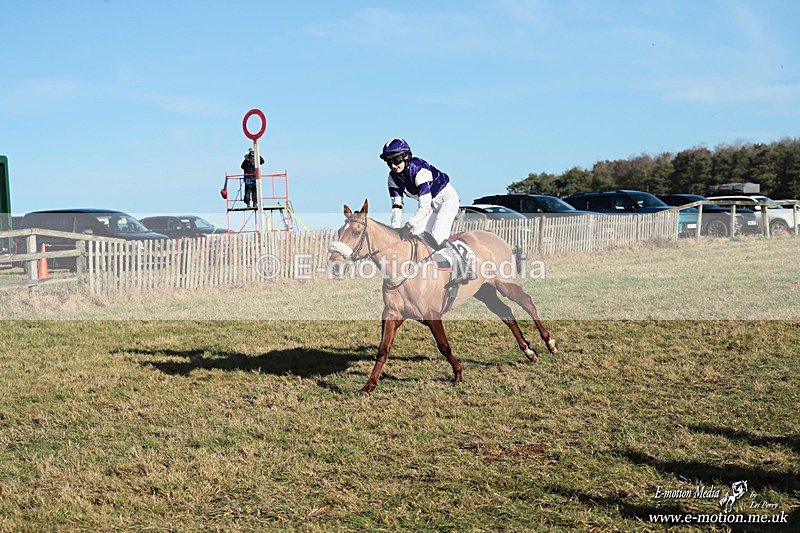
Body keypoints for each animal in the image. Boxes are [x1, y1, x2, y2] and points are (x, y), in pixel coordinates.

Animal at [328, 199, 558, 394]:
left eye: (356, 232)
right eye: (340, 231)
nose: (335, 264)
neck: (403, 266)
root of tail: (496, 237)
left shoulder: (432, 314)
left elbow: (443, 345)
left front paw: (458, 373)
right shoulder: (392, 314)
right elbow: (383, 350)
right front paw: (369, 385)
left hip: (506, 284)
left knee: (528, 303)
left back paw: (549, 343)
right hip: (485, 291)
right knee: (507, 314)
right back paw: (528, 351)